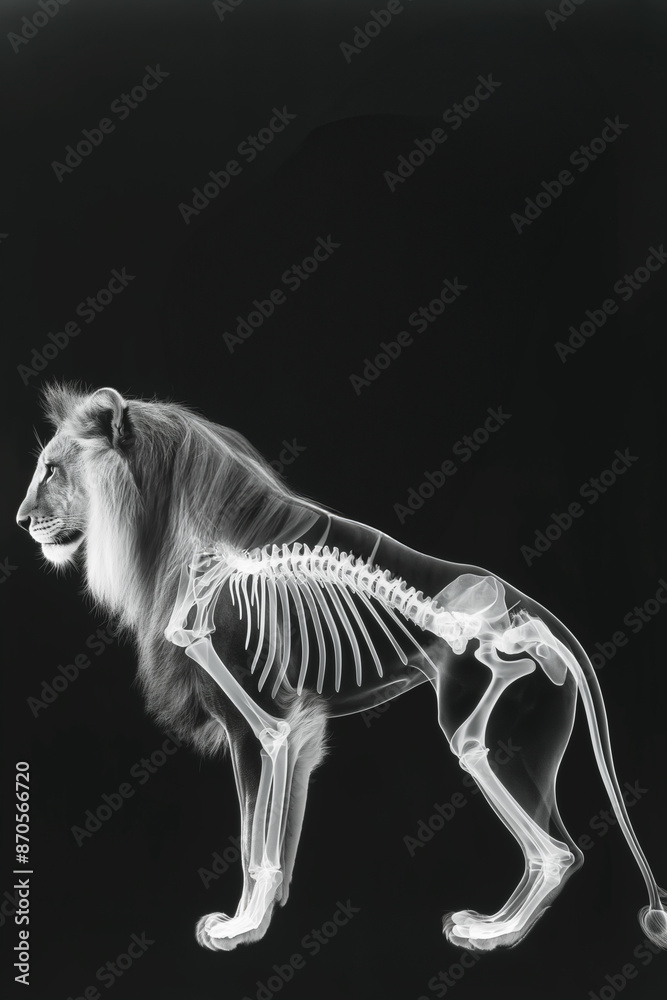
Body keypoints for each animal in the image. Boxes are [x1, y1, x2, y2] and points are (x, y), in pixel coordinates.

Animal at [16, 383, 667, 954]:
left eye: (52, 469)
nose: (22, 522)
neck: (181, 539)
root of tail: (541, 621)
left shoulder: (268, 721)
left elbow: (256, 839)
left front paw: (239, 929)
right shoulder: (286, 726)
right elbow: (269, 831)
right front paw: (259, 919)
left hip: (489, 732)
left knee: (555, 847)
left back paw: (493, 936)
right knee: (551, 848)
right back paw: (489, 924)